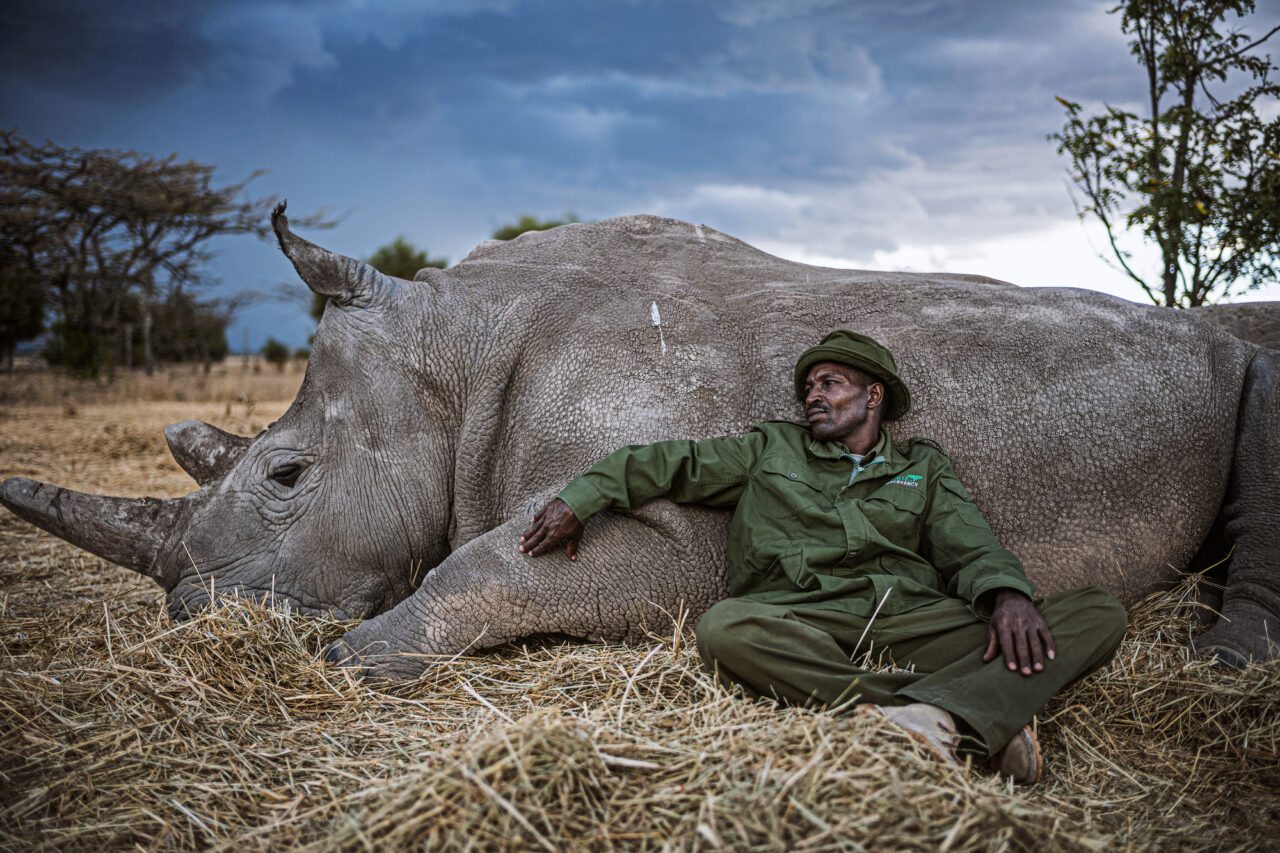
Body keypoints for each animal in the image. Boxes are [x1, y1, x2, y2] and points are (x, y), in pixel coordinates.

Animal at [5, 202, 1274, 676]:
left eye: (284, 474)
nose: (194, 623)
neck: (455, 356)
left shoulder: (686, 537)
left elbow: (481, 567)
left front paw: (356, 660)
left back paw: (1225, 669)